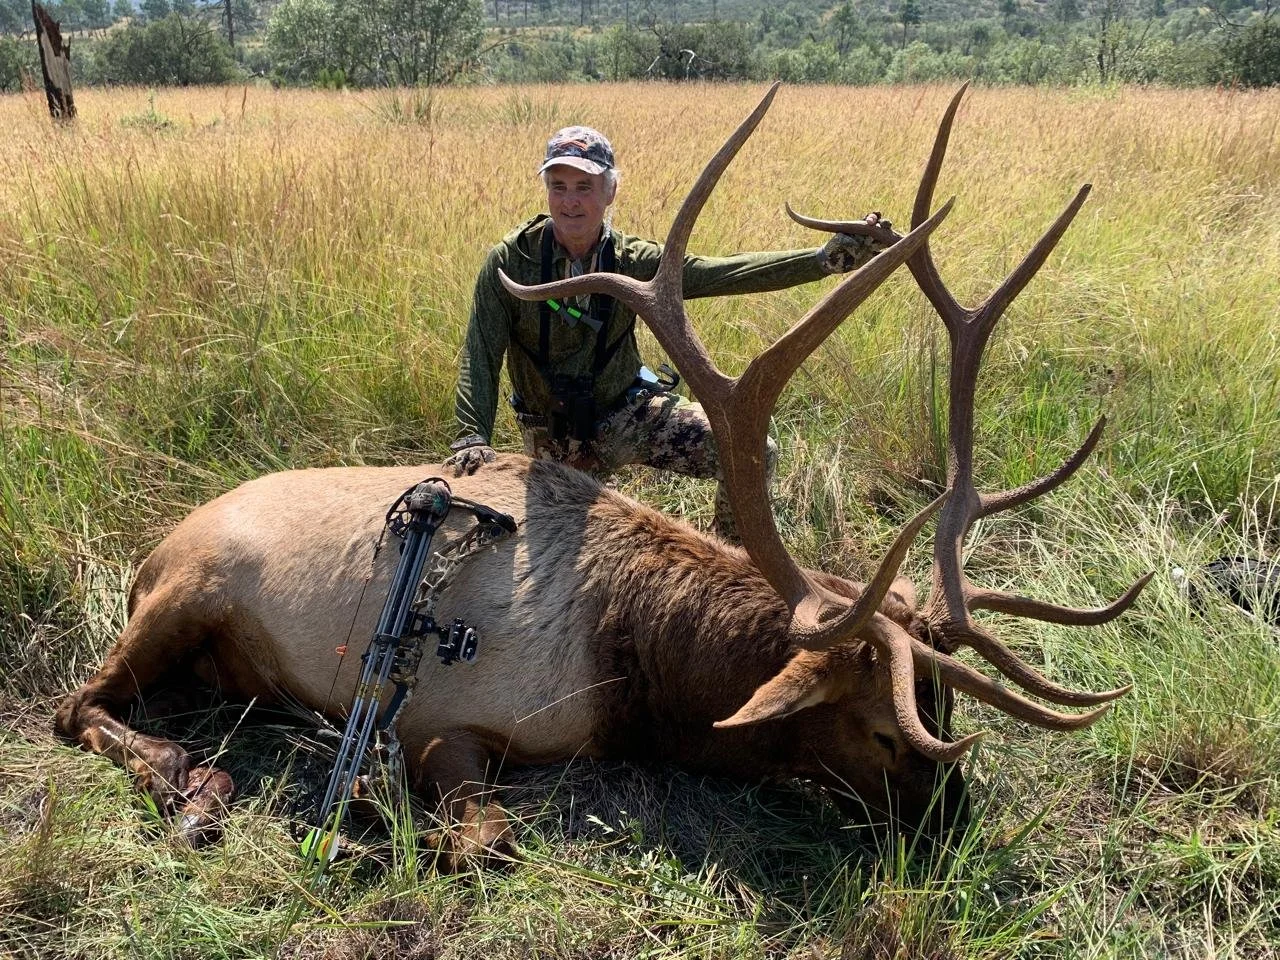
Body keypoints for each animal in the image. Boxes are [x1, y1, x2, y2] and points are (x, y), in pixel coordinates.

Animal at [54, 85, 1150, 870]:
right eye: (887, 732)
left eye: (948, 709)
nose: (956, 831)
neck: (641, 675)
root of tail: (145, 554)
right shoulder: (445, 719)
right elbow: (482, 840)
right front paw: (370, 799)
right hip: (187, 594)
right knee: (76, 707)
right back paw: (195, 788)